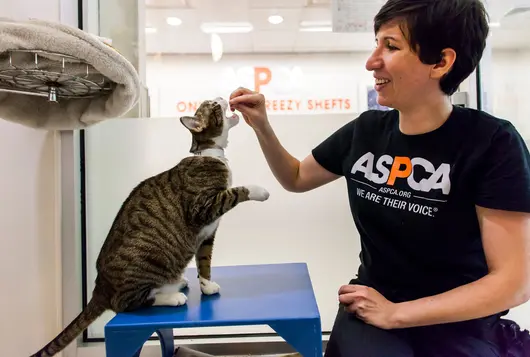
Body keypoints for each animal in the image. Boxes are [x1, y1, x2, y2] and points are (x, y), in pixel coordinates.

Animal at [28, 96, 268, 356]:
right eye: (213, 105)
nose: (221, 98)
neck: (210, 154)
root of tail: (100, 287)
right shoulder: (202, 208)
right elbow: (236, 191)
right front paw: (260, 190)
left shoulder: (207, 234)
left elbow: (204, 261)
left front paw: (206, 286)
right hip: (147, 259)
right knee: (125, 303)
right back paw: (171, 297)